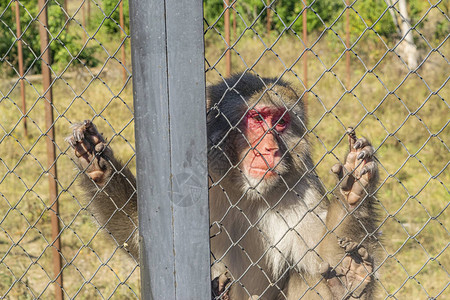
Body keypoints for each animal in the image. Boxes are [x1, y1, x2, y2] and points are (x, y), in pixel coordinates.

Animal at [67, 73, 382, 300]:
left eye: (280, 122)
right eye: (257, 118)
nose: (270, 149)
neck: (243, 189)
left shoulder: (300, 190)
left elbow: (320, 262)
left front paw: (352, 195)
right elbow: (142, 238)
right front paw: (99, 166)